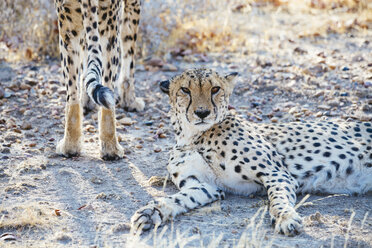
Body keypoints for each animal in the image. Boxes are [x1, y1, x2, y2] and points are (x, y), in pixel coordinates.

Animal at [53, 0, 144, 161]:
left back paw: (70, 145)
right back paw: (111, 148)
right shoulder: (133, 5)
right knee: (108, 85)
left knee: (72, 93)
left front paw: (86, 101)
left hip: (68, 24)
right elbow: (129, 45)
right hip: (108, 26)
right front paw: (130, 101)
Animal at [132, 69, 372, 235]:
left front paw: (285, 218)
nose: (202, 112)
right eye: (185, 90)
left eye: (215, 89)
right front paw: (151, 212)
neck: (193, 136)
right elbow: (178, 199)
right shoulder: (204, 185)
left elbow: (277, 199)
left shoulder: (276, 173)